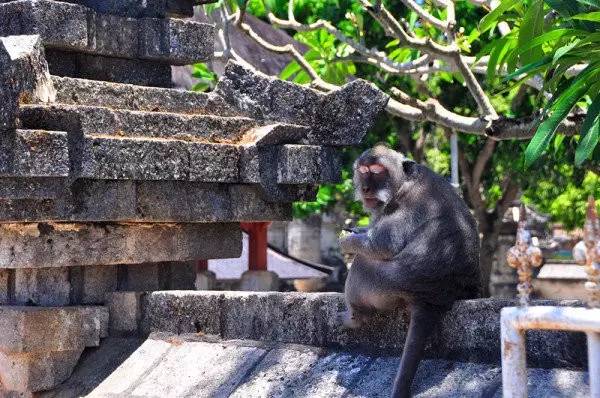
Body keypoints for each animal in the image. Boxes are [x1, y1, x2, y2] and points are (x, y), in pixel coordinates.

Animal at [340, 145, 480, 398]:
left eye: (377, 171)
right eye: (363, 171)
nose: (365, 188)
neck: (404, 183)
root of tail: (434, 298)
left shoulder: (404, 208)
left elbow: (384, 245)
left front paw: (347, 242)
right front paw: (355, 229)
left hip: (389, 284)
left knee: (363, 264)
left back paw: (354, 317)